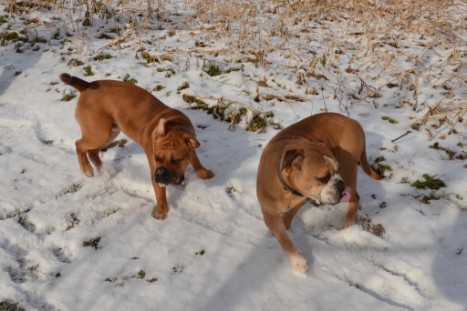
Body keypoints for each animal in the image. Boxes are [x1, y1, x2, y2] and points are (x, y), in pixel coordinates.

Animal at [60, 73, 214, 219]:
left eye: (176, 160)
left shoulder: (190, 145)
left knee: (92, 151)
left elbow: (195, 159)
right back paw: (86, 168)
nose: (159, 173)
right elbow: (160, 192)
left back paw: (102, 170)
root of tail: (87, 85)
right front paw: (161, 212)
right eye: (157, 158)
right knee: (79, 144)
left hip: (109, 132)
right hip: (99, 132)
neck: (175, 127)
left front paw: (204, 173)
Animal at [258, 113, 382, 274]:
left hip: (349, 169)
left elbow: (287, 225)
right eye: (323, 178)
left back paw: (347, 223)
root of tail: (353, 121)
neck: (289, 191)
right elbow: (283, 234)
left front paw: (298, 262)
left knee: (355, 197)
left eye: (337, 169)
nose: (340, 184)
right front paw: (285, 230)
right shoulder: (270, 213)